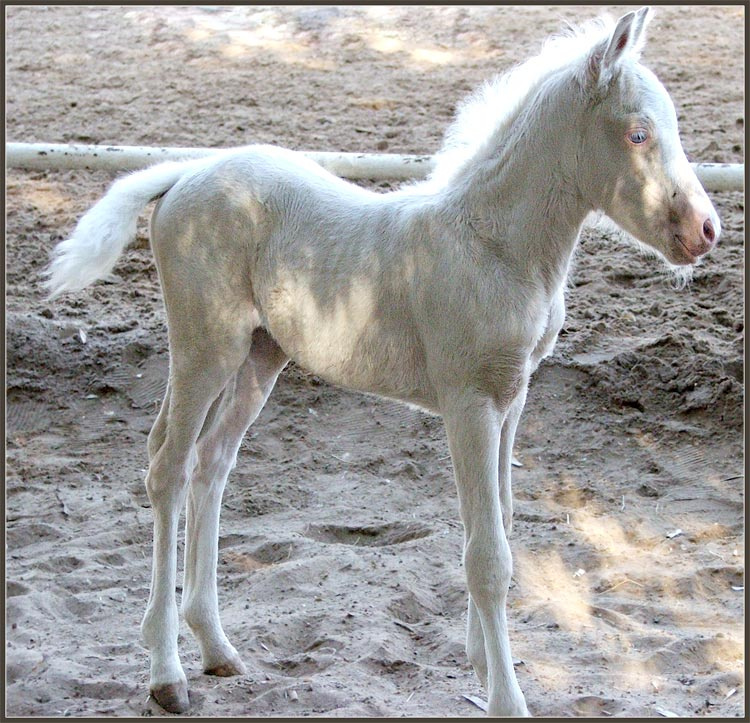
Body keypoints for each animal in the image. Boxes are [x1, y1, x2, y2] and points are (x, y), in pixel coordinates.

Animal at [44, 7, 719, 716]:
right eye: (638, 133)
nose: (707, 231)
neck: (494, 246)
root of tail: (183, 176)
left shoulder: (514, 399)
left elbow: (502, 522)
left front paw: (482, 665)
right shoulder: (469, 403)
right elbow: (488, 556)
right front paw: (506, 697)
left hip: (260, 356)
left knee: (211, 464)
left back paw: (218, 648)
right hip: (207, 347)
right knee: (167, 470)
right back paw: (166, 672)